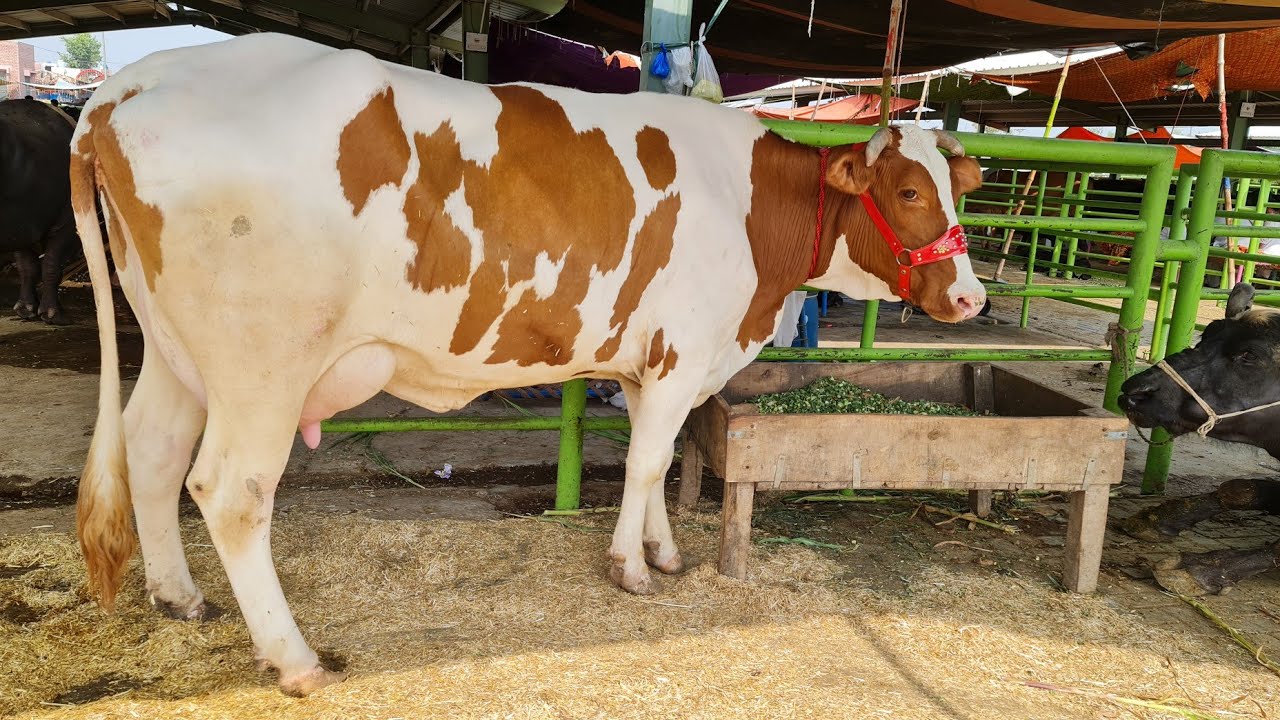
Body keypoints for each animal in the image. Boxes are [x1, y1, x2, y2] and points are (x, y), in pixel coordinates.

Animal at [0, 97, 79, 324]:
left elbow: (30, 267)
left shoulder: (20, 228)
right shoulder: (68, 224)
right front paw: (54, 314)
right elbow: (51, 264)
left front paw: (26, 309)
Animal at [71, 33, 985, 695]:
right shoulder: (683, 351)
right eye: (909, 192)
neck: (751, 211)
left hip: (176, 350)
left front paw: (661, 552)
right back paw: (294, 658)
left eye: (958, 191)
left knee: (152, 451)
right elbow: (648, 462)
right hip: (262, 363)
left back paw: (179, 598)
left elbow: (654, 463)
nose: (971, 297)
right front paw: (630, 570)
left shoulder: (649, 364)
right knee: (230, 491)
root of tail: (125, 87)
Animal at [1118, 283, 1280, 596]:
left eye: (1250, 355)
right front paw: (1158, 518)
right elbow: (1238, 489)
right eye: (1206, 336)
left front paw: (1199, 567)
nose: (1135, 390)